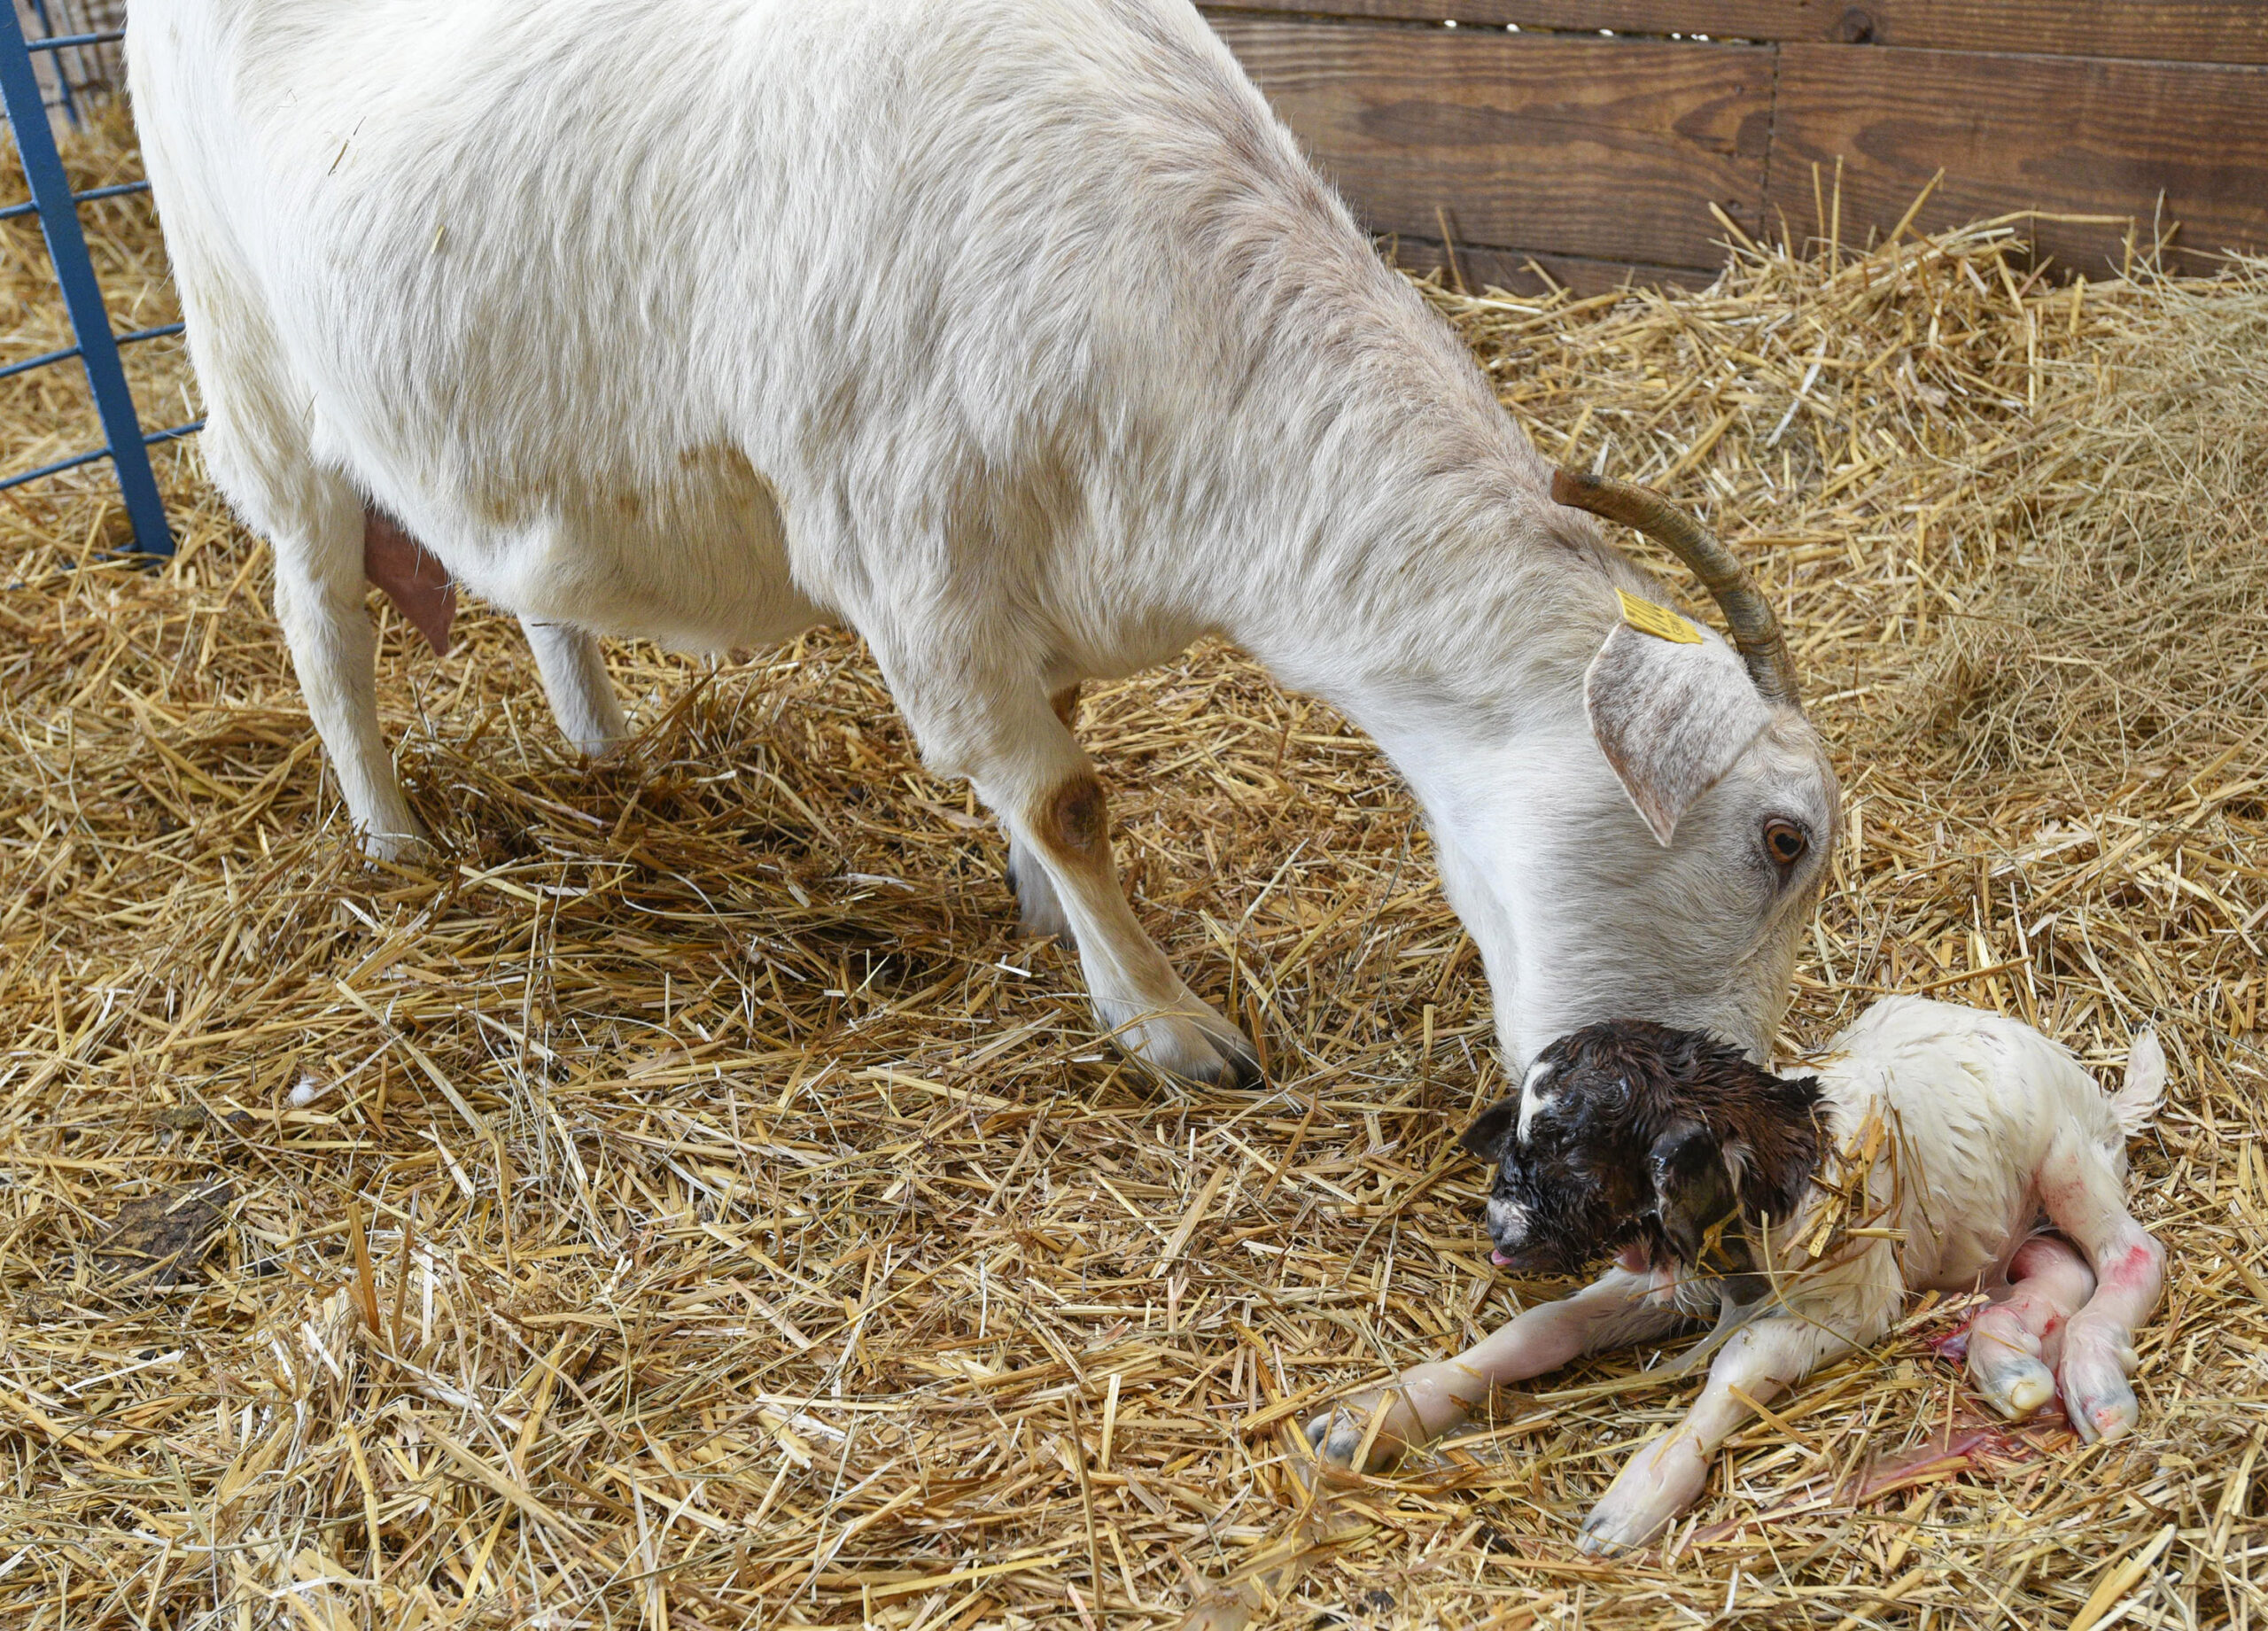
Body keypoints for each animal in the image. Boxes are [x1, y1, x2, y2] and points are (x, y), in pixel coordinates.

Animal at [129, 0, 1839, 1084]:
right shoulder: (918, 560)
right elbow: (1071, 796)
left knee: (527, 583)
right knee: (322, 627)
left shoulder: (1039, 577)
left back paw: (601, 745)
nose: (1727, 1117)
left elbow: (1058, 767)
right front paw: (1166, 1024)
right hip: (253, 362)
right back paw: (392, 838)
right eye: (1782, 841)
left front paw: (1045, 916)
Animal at [1306, 998, 2167, 1551]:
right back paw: (2011, 1361)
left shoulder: (1847, 1302)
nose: (1498, 1228)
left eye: (1571, 1148)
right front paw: (1374, 1416)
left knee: (2130, 1253)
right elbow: (1543, 1327)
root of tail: (2102, 1100)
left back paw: (2093, 1385)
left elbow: (1740, 1363)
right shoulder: (1673, 1274)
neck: (1787, 1156)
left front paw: (1637, 1495)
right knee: (2051, 1265)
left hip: (2064, 1160)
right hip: (2001, 1227)